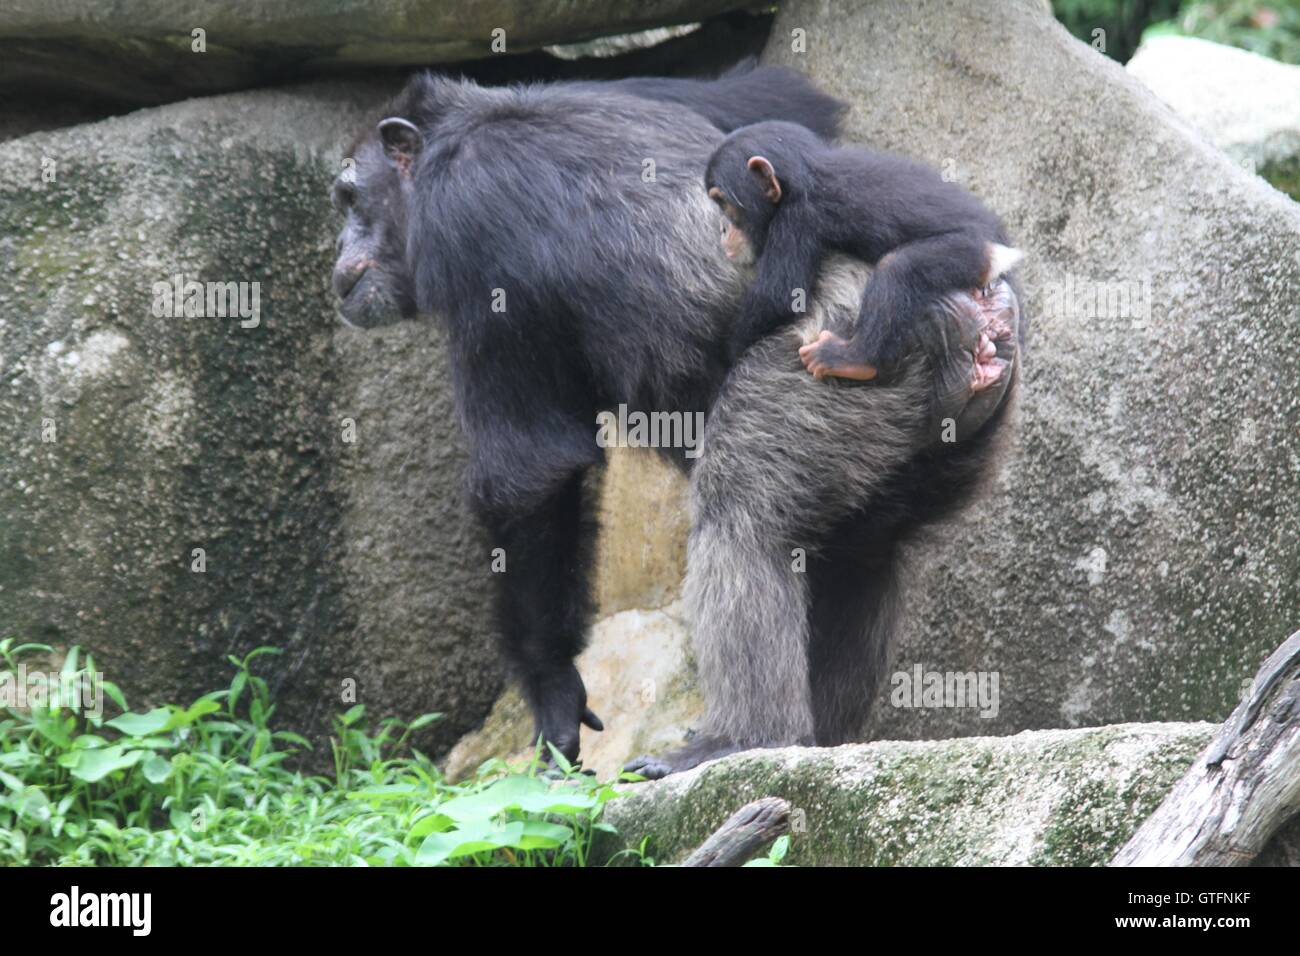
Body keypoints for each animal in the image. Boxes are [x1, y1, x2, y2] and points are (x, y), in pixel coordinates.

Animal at [707, 120, 1019, 390]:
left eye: (722, 201)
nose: (722, 228)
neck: (801, 177)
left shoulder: (797, 219)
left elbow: (779, 295)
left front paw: (726, 359)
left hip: (972, 250)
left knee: (897, 268)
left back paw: (853, 359)